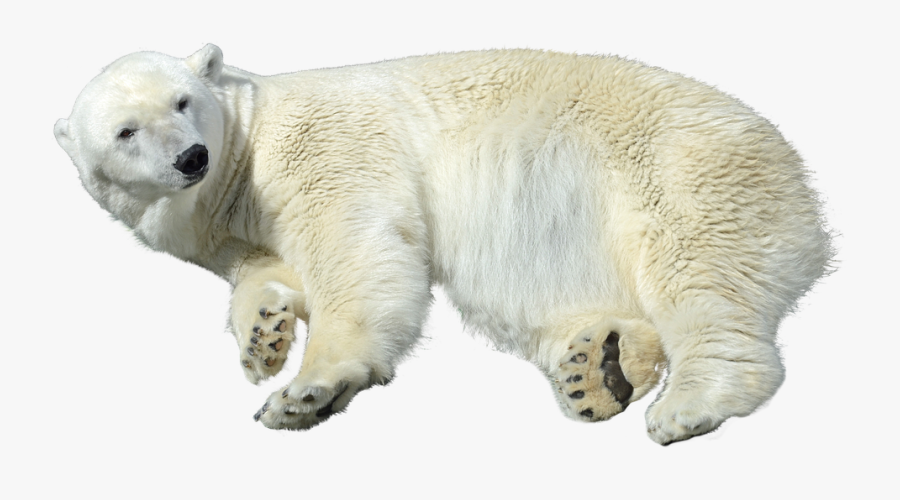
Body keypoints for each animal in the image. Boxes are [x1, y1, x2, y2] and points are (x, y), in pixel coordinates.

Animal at [54, 44, 832, 444]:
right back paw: (595, 368)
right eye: (125, 131)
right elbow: (265, 270)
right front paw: (262, 338)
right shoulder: (233, 225)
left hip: (681, 174)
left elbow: (354, 246)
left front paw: (306, 391)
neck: (242, 156)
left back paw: (688, 404)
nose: (190, 157)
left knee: (697, 277)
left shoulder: (322, 152)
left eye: (182, 101)